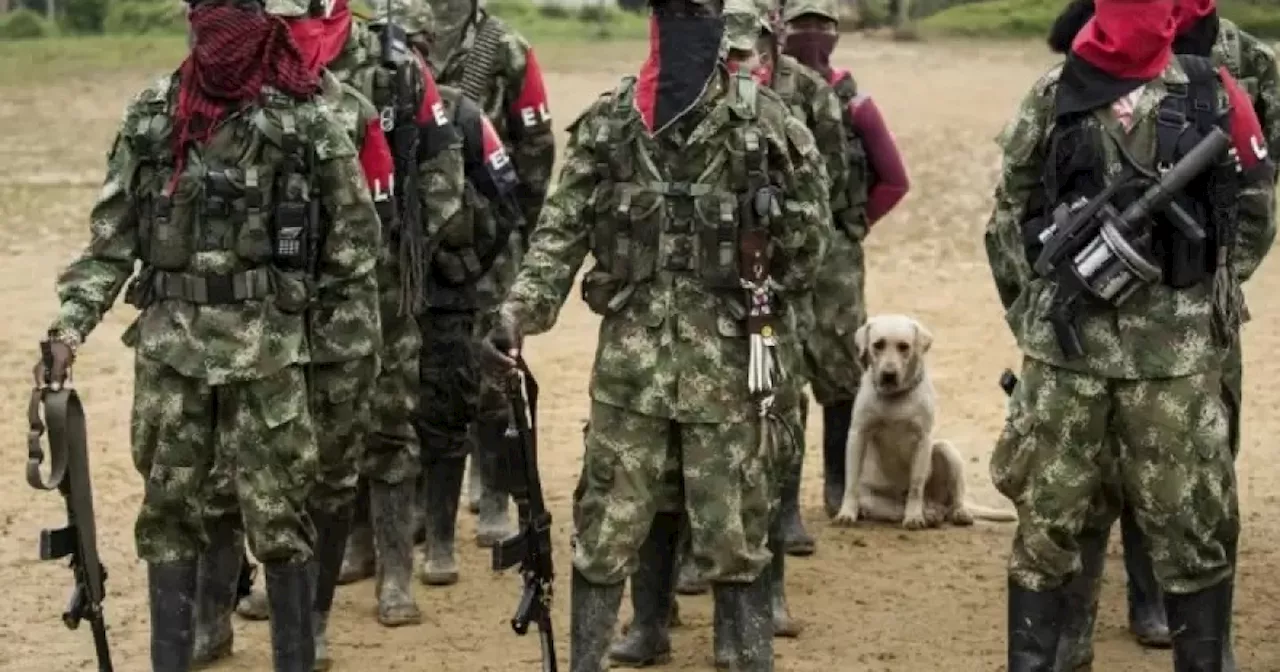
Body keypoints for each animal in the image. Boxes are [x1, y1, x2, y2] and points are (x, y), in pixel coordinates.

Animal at [834, 314, 1013, 529]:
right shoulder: (858, 435)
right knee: (896, 509)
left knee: (954, 499)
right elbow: (851, 483)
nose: (888, 374)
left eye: (904, 346)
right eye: (878, 344)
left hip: (946, 450)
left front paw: (914, 517)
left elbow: (916, 485)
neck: (895, 397)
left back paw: (955, 512)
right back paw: (930, 513)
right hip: (872, 499)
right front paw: (846, 513)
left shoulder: (923, 440)